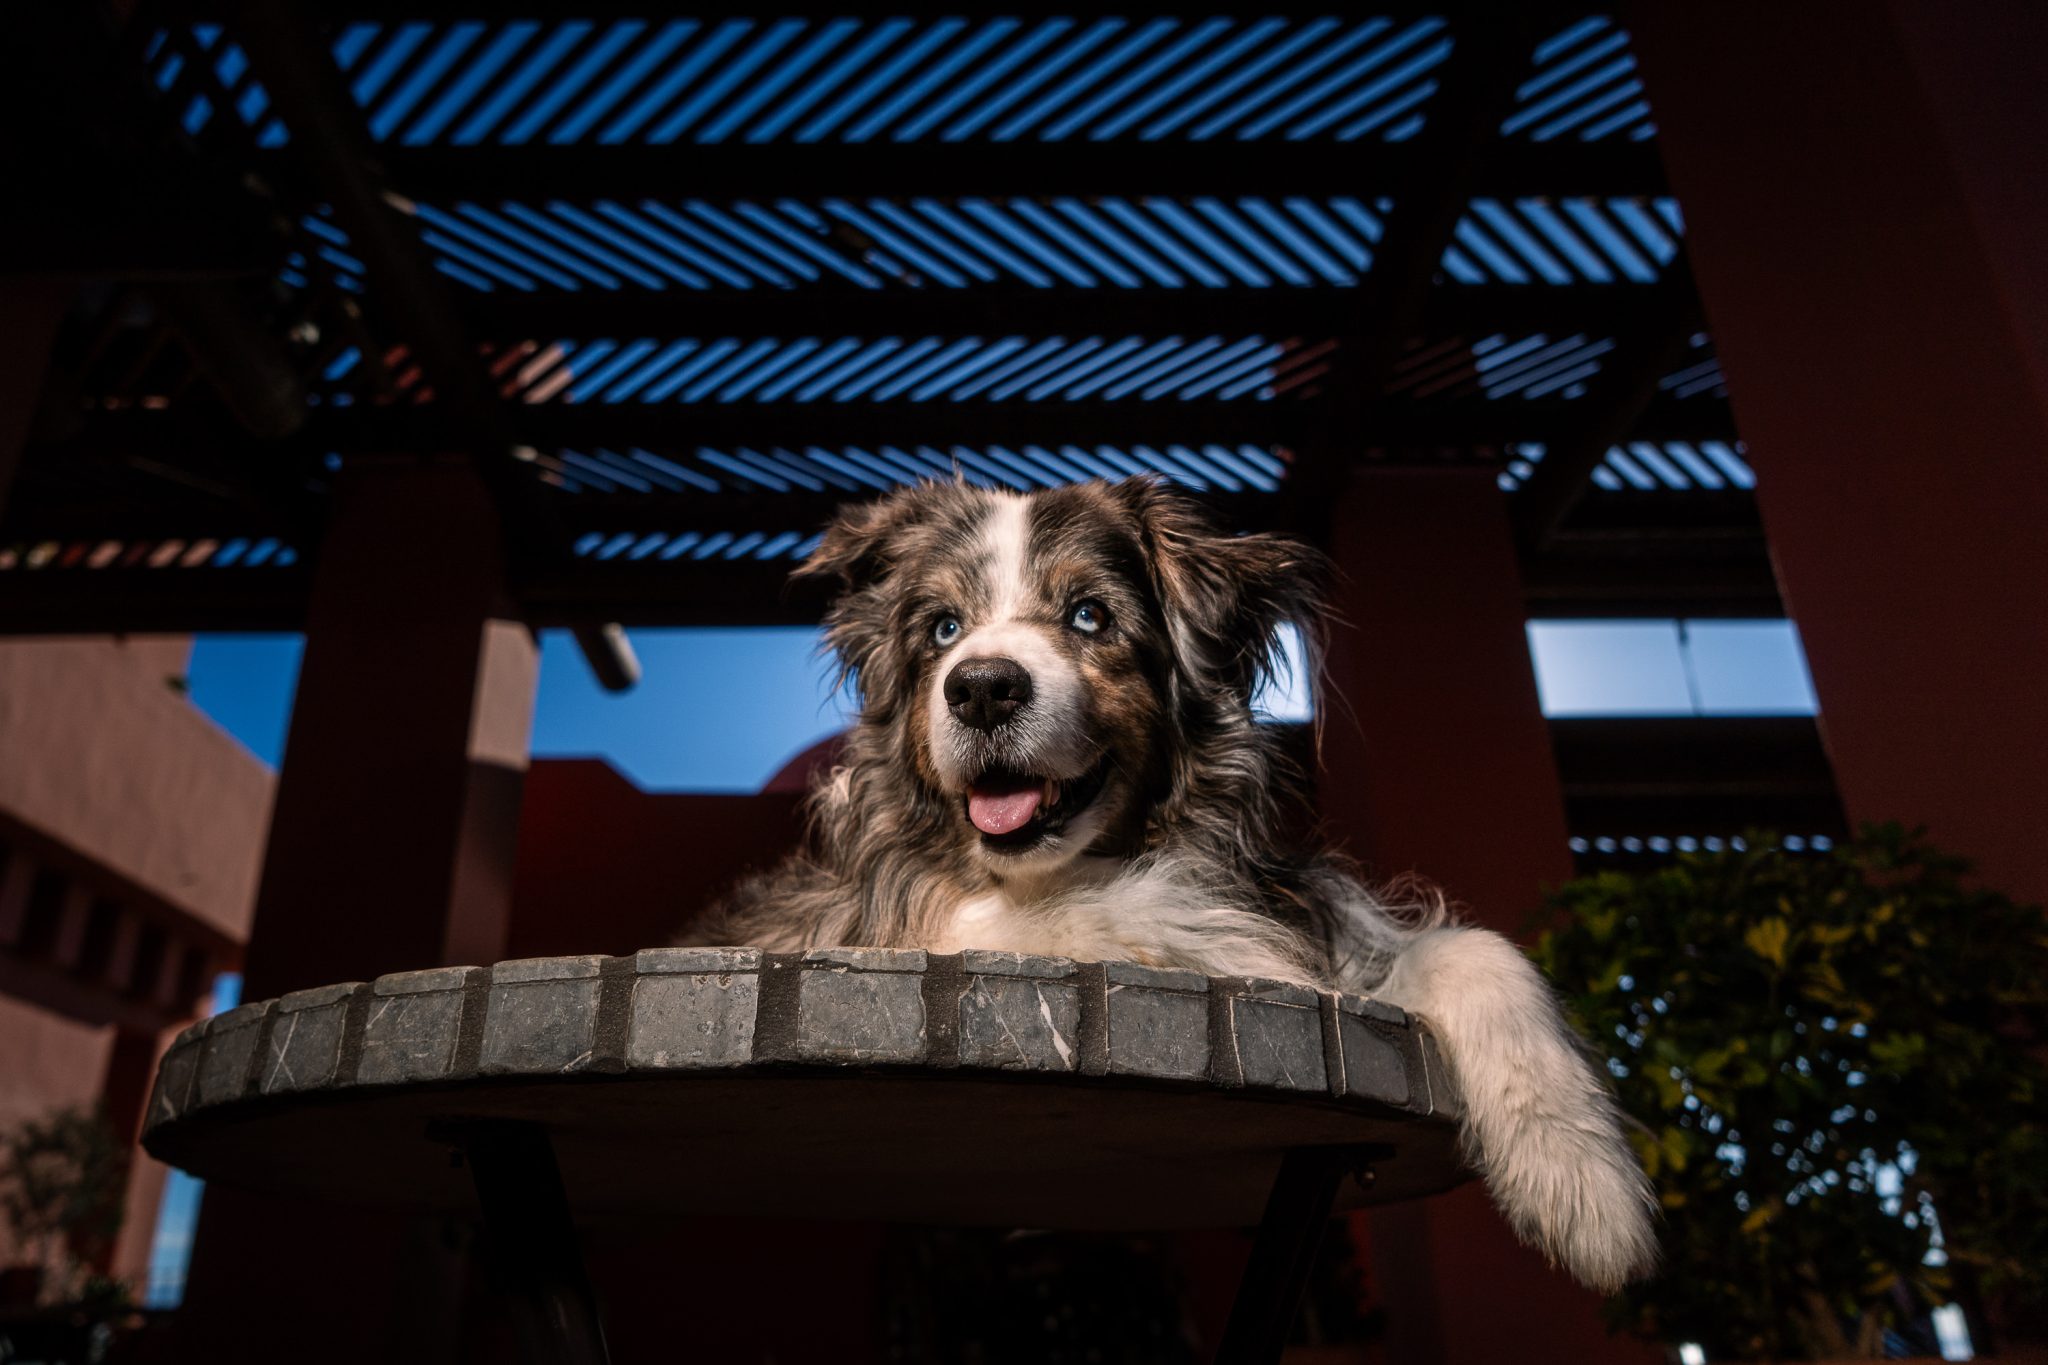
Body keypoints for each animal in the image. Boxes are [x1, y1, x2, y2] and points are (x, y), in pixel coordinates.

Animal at [700, 476, 1657, 1292]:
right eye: (942, 628)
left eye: (1090, 615)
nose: (981, 687)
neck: (1056, 873)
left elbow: (1474, 950)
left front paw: (1586, 1193)